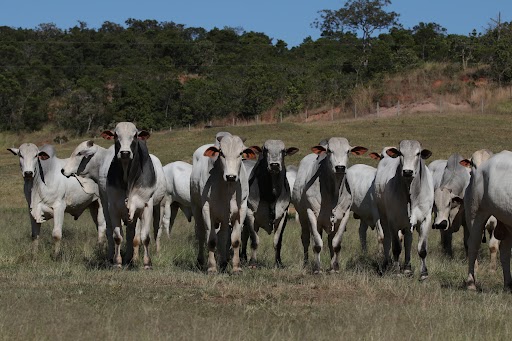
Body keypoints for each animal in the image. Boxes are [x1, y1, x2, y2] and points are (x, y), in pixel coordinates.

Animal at [190, 134, 258, 272]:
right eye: (221, 153)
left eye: (241, 153)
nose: (231, 176)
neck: (228, 189)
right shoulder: (207, 209)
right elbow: (211, 240)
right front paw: (212, 268)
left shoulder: (241, 210)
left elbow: (235, 240)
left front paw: (236, 268)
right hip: (196, 208)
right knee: (201, 235)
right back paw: (201, 262)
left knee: (223, 235)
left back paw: (223, 263)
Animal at [241, 138, 298, 266]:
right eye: (265, 150)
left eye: (283, 151)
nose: (275, 165)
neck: (271, 195)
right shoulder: (250, 214)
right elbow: (255, 240)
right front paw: (253, 262)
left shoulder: (283, 215)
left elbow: (277, 241)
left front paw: (278, 263)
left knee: (244, 236)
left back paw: (243, 258)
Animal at [292, 137, 368, 272]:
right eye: (329, 151)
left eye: (348, 151)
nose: (340, 168)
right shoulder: (311, 213)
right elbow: (317, 244)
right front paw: (317, 268)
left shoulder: (344, 215)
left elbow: (336, 244)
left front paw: (335, 267)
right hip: (302, 217)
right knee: (305, 239)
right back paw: (306, 263)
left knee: (330, 241)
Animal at [374, 139, 434, 278]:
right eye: (401, 153)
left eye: (418, 153)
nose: (407, 171)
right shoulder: (393, 222)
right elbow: (396, 248)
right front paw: (396, 271)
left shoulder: (425, 220)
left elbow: (422, 249)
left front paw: (424, 273)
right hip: (384, 218)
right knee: (386, 239)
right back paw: (386, 264)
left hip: (408, 224)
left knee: (408, 241)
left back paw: (407, 267)